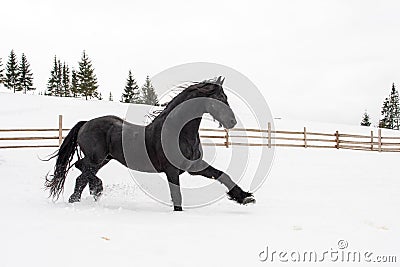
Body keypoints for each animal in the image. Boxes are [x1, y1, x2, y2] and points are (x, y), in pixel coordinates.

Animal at [45, 76, 255, 211]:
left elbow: (222, 175)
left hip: (104, 159)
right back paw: (95, 190)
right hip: (96, 158)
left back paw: (83, 197)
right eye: (219, 99)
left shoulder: (194, 166)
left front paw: (245, 197)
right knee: (81, 169)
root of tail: (85, 123)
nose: (232, 122)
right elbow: (177, 196)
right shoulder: (172, 170)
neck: (179, 133)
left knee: (81, 176)